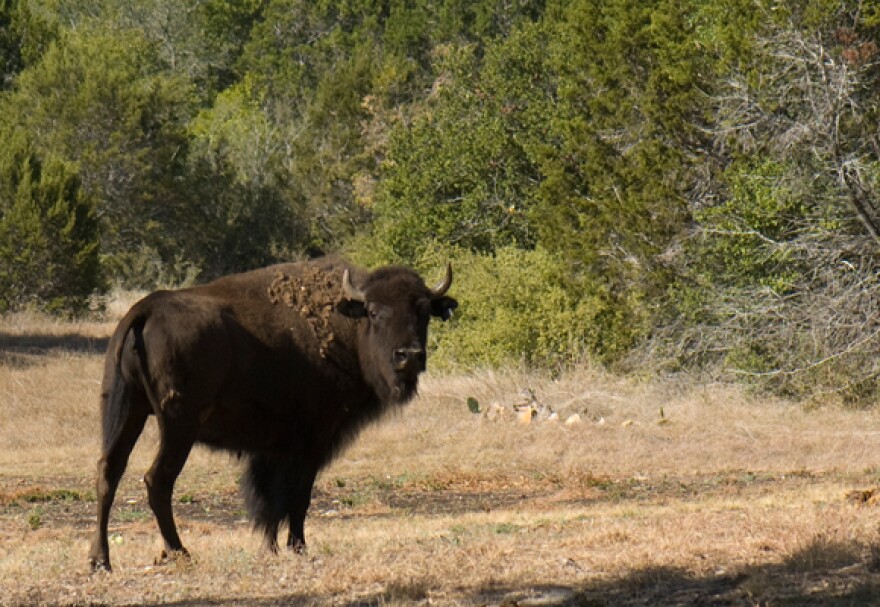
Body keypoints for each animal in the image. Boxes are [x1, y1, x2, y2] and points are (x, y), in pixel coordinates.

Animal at [87, 258, 460, 572]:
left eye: (423, 311)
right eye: (373, 311)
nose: (409, 356)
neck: (345, 326)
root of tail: (145, 309)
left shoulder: (273, 448)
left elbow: (269, 499)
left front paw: (271, 548)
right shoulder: (313, 440)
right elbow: (298, 495)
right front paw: (298, 547)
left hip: (125, 410)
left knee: (109, 472)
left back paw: (100, 560)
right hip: (177, 425)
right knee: (157, 480)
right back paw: (179, 552)